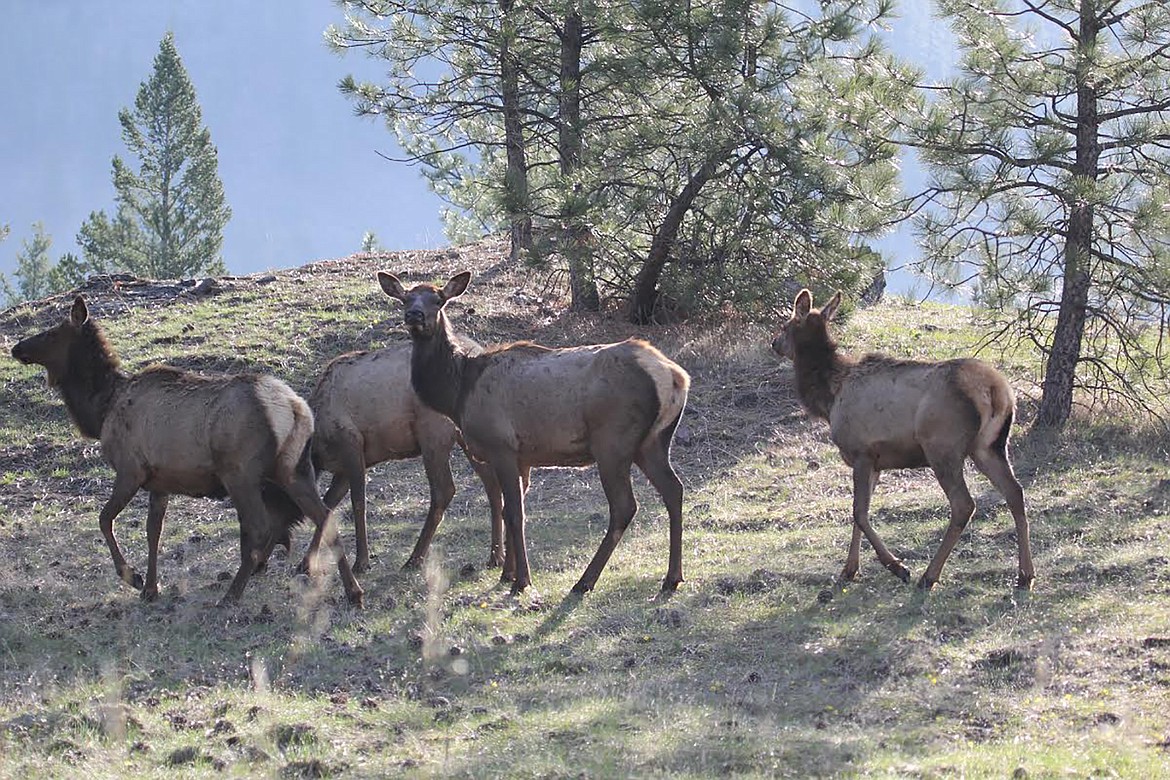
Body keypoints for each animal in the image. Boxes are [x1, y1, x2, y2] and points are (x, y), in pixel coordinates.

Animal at [9, 295, 362, 608]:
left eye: (52, 332)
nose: (17, 347)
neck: (100, 408)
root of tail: (294, 408)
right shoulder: (160, 482)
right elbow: (153, 531)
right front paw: (150, 589)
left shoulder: (130, 468)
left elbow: (104, 518)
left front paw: (132, 577)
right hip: (294, 469)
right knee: (325, 516)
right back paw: (353, 592)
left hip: (240, 472)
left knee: (261, 527)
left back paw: (231, 595)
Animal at [306, 346, 503, 573]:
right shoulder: (343, 470)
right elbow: (326, 507)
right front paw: (305, 563)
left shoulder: (352, 447)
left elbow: (357, 504)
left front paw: (362, 562)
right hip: (468, 438)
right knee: (492, 485)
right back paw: (496, 556)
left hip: (432, 433)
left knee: (444, 490)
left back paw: (415, 558)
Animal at [374, 271, 687, 594]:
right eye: (406, 298)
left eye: (438, 300)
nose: (414, 315)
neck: (457, 394)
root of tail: (676, 377)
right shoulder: (523, 457)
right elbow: (508, 510)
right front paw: (507, 574)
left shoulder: (500, 446)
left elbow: (515, 512)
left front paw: (521, 581)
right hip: (653, 442)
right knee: (674, 490)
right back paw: (672, 577)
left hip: (613, 441)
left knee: (625, 506)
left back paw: (585, 581)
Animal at [776, 290, 1034, 589]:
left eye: (785, 325)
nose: (774, 343)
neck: (829, 399)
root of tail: (998, 391)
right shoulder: (876, 463)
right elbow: (860, 514)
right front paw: (849, 569)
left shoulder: (861, 452)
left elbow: (858, 513)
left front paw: (896, 566)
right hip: (989, 446)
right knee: (1015, 492)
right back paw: (1025, 574)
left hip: (942, 446)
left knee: (963, 504)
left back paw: (929, 575)